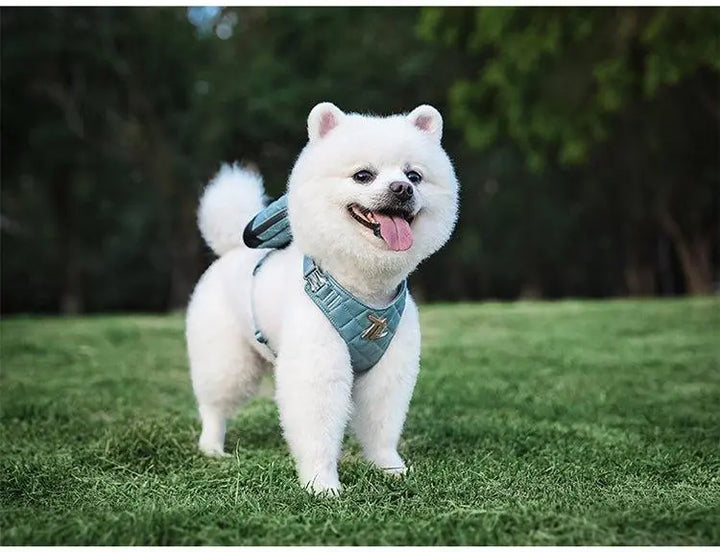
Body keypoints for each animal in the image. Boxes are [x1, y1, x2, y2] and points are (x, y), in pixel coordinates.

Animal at [188, 103, 458, 496]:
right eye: (363, 175)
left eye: (414, 175)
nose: (402, 188)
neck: (364, 289)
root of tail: (231, 249)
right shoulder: (317, 364)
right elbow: (318, 429)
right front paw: (322, 485)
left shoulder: (390, 368)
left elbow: (382, 426)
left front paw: (389, 468)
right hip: (226, 357)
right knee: (214, 405)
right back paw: (212, 446)